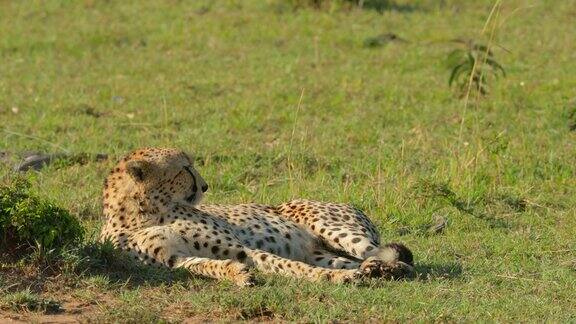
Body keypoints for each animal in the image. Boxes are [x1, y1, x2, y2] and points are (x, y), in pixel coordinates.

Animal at [100, 148, 414, 284]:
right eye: (185, 168)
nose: (205, 186)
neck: (145, 213)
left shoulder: (240, 248)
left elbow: (288, 265)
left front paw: (331, 279)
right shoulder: (172, 259)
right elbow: (203, 266)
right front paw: (235, 274)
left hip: (332, 228)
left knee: (402, 261)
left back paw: (389, 269)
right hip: (319, 250)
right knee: (355, 261)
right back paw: (373, 270)